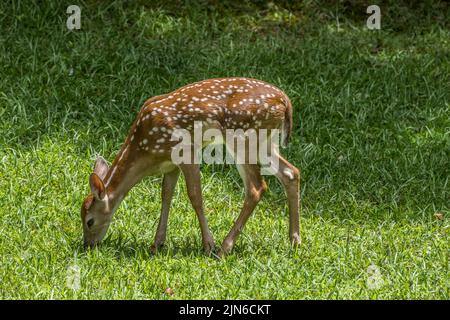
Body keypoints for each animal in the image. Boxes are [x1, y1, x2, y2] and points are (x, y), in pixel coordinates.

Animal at [81, 76, 300, 256]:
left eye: (89, 221)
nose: (88, 245)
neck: (145, 150)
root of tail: (285, 101)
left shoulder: (186, 151)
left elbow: (195, 196)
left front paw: (208, 245)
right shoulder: (171, 165)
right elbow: (166, 195)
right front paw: (157, 244)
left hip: (243, 137)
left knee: (256, 188)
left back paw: (224, 248)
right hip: (265, 142)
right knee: (291, 172)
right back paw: (294, 241)